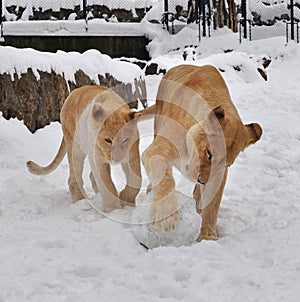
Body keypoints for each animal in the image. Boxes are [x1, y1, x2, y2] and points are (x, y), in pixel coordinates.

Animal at [142, 64, 262, 241]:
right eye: (209, 154)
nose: (201, 180)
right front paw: (166, 215)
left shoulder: (218, 174)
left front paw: (208, 236)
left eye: (227, 164)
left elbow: (212, 204)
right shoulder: (159, 148)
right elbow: (164, 176)